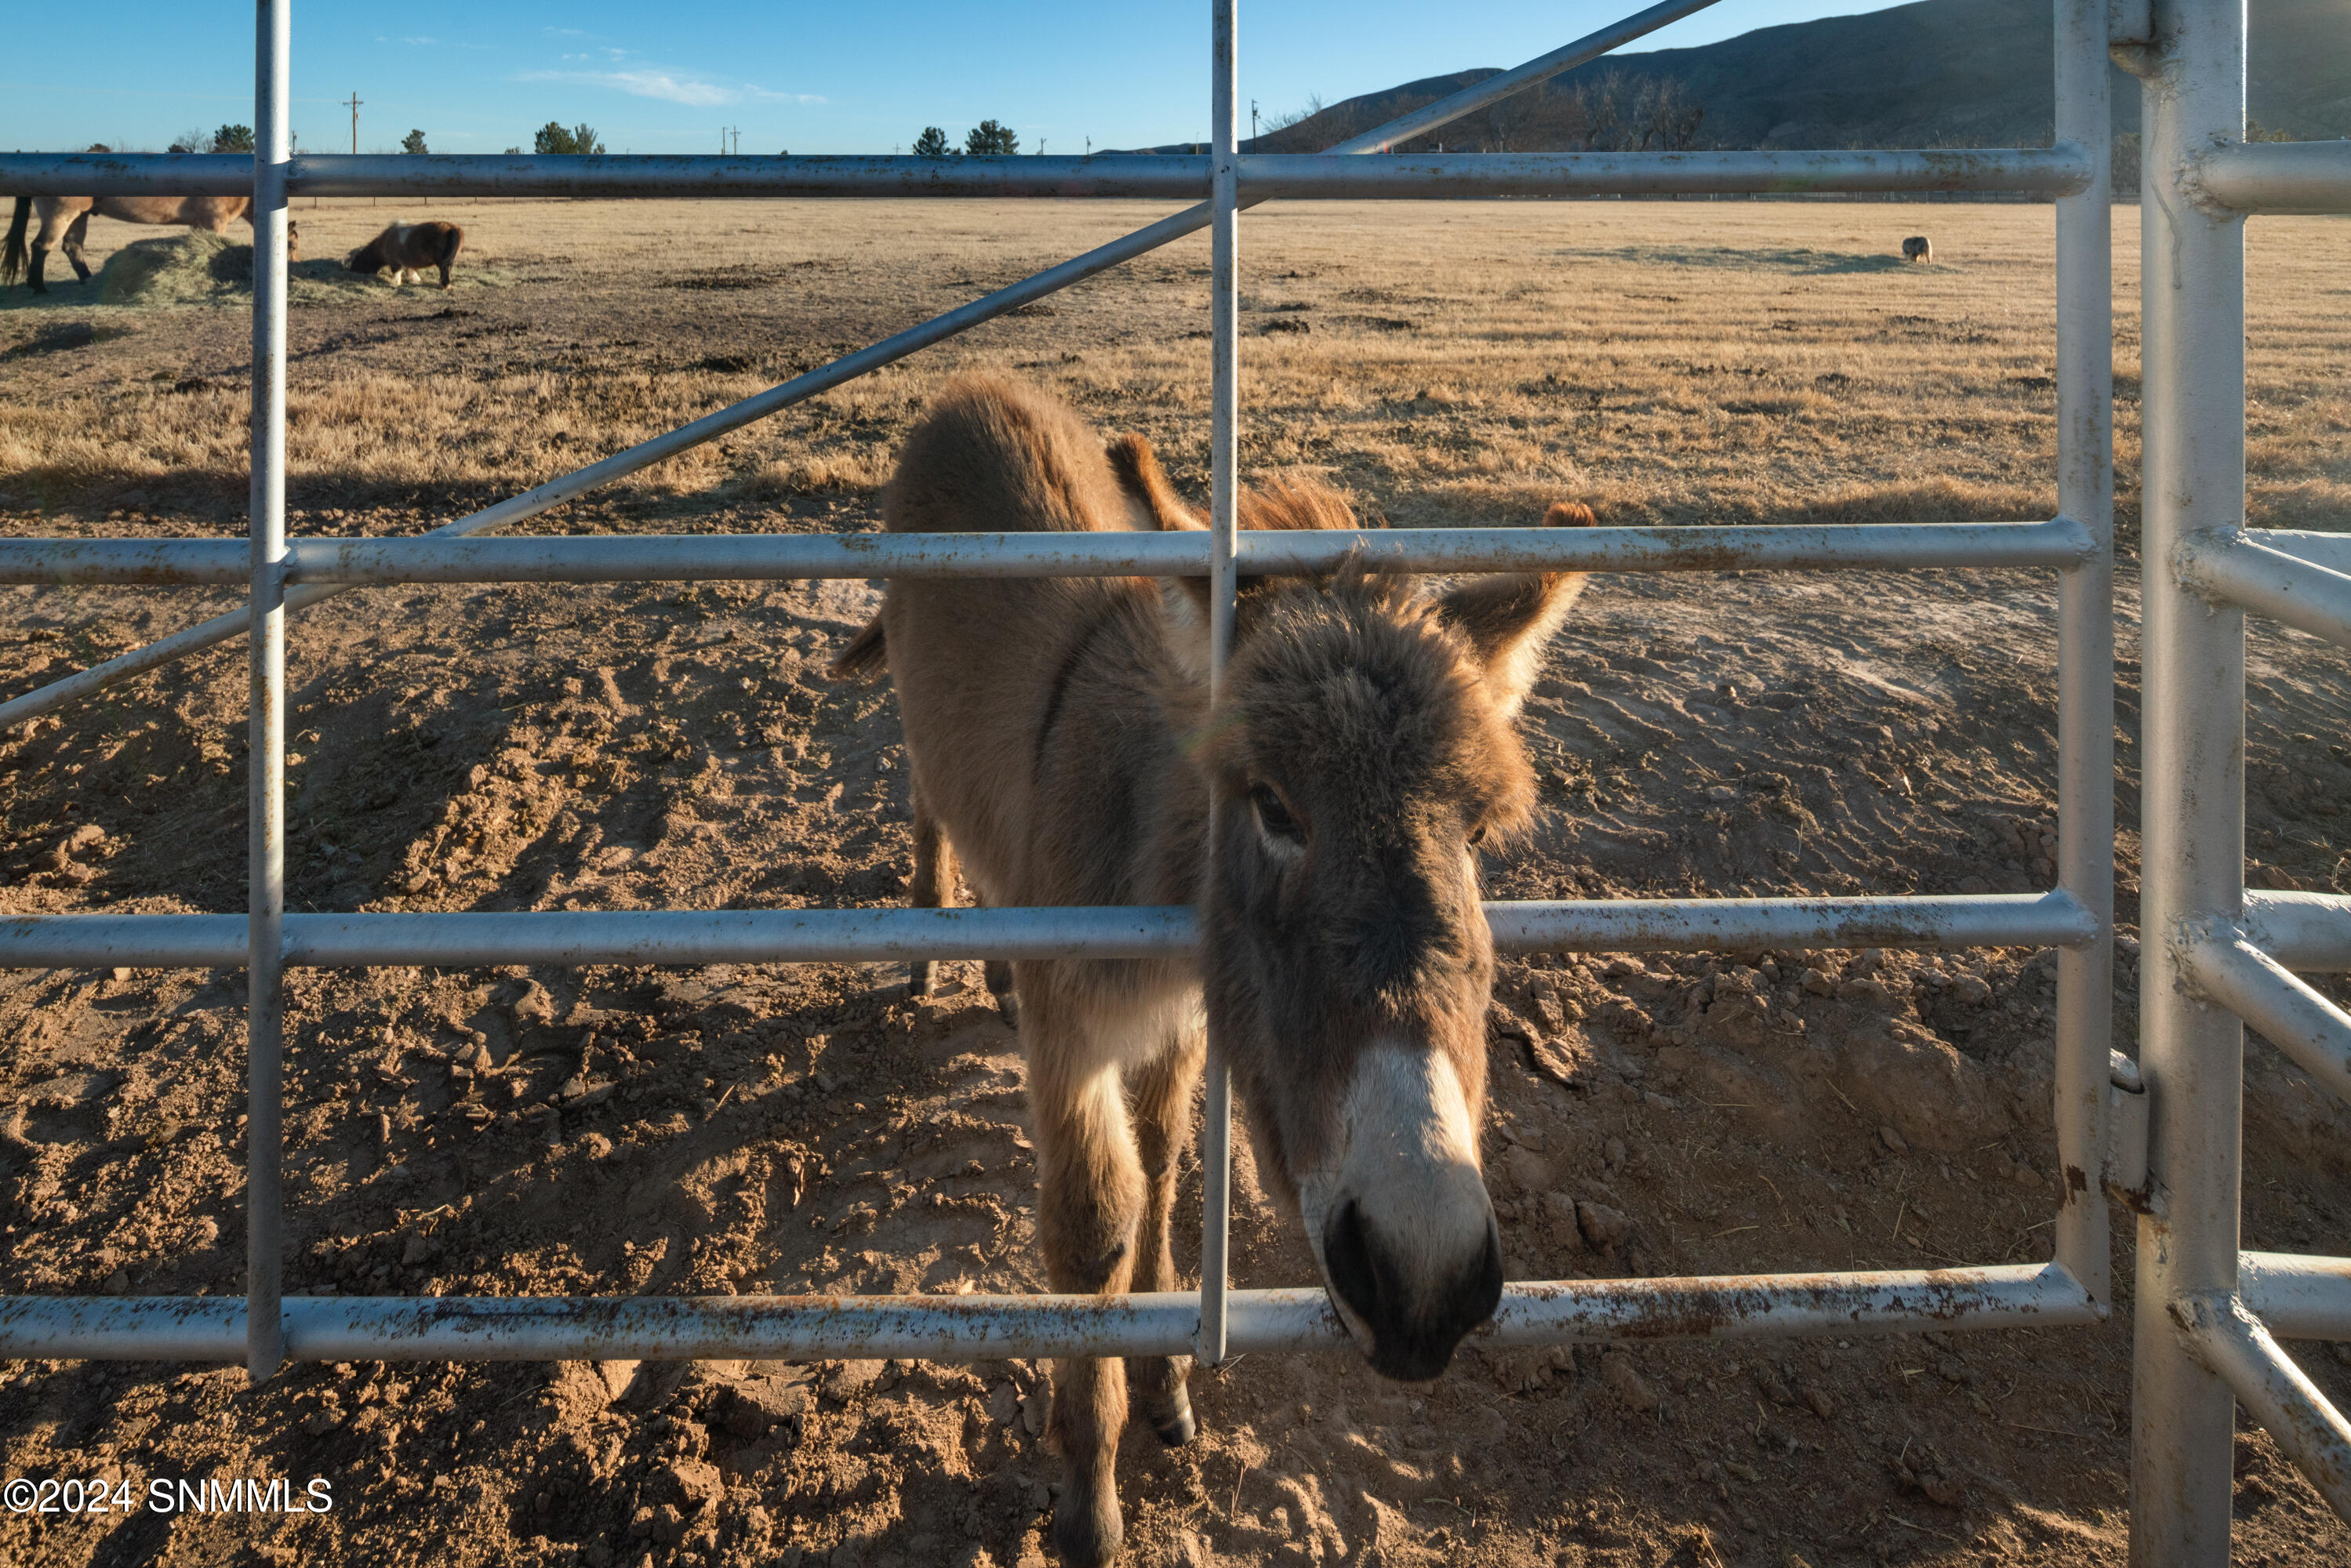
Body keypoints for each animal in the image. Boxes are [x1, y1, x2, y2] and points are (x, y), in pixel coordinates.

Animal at [0, 194, 296, 292]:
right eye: (291, 244)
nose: (293, 268)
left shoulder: (198, 224)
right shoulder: (214, 222)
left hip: (79, 217)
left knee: (72, 248)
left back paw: (87, 279)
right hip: (61, 216)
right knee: (41, 247)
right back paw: (38, 287)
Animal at [343, 220, 463, 291]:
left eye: (357, 261)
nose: (351, 270)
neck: (384, 242)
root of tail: (451, 228)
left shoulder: (395, 262)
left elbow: (396, 272)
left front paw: (395, 283)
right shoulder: (407, 261)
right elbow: (411, 270)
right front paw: (415, 279)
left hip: (443, 263)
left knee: (444, 271)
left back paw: (444, 285)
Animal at [827, 373, 1598, 1561]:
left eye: (1475, 828)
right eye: (1272, 805)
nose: (1422, 1272)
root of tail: (972, 386)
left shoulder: (1187, 1021)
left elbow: (1161, 1168)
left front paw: (1161, 1386)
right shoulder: (1072, 1039)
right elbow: (1094, 1225)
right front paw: (1089, 1494)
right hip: (921, 714)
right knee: (924, 796)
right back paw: (932, 941)